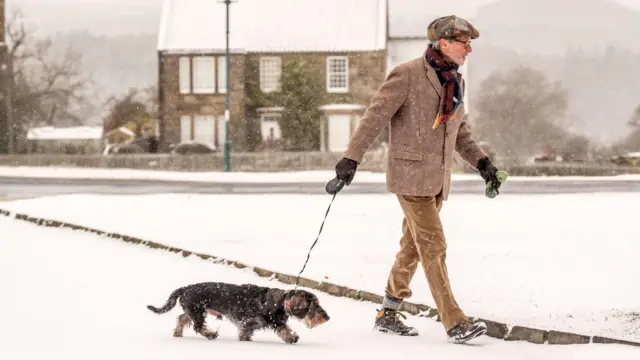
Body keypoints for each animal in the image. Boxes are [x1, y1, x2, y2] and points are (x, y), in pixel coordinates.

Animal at [146, 282, 330, 344]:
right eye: (314, 304)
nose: (327, 317)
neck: (279, 301)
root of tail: (185, 288)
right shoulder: (251, 322)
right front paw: (292, 338)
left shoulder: (275, 322)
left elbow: (283, 329)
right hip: (197, 312)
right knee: (198, 327)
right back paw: (211, 334)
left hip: (193, 311)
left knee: (182, 319)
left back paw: (178, 333)